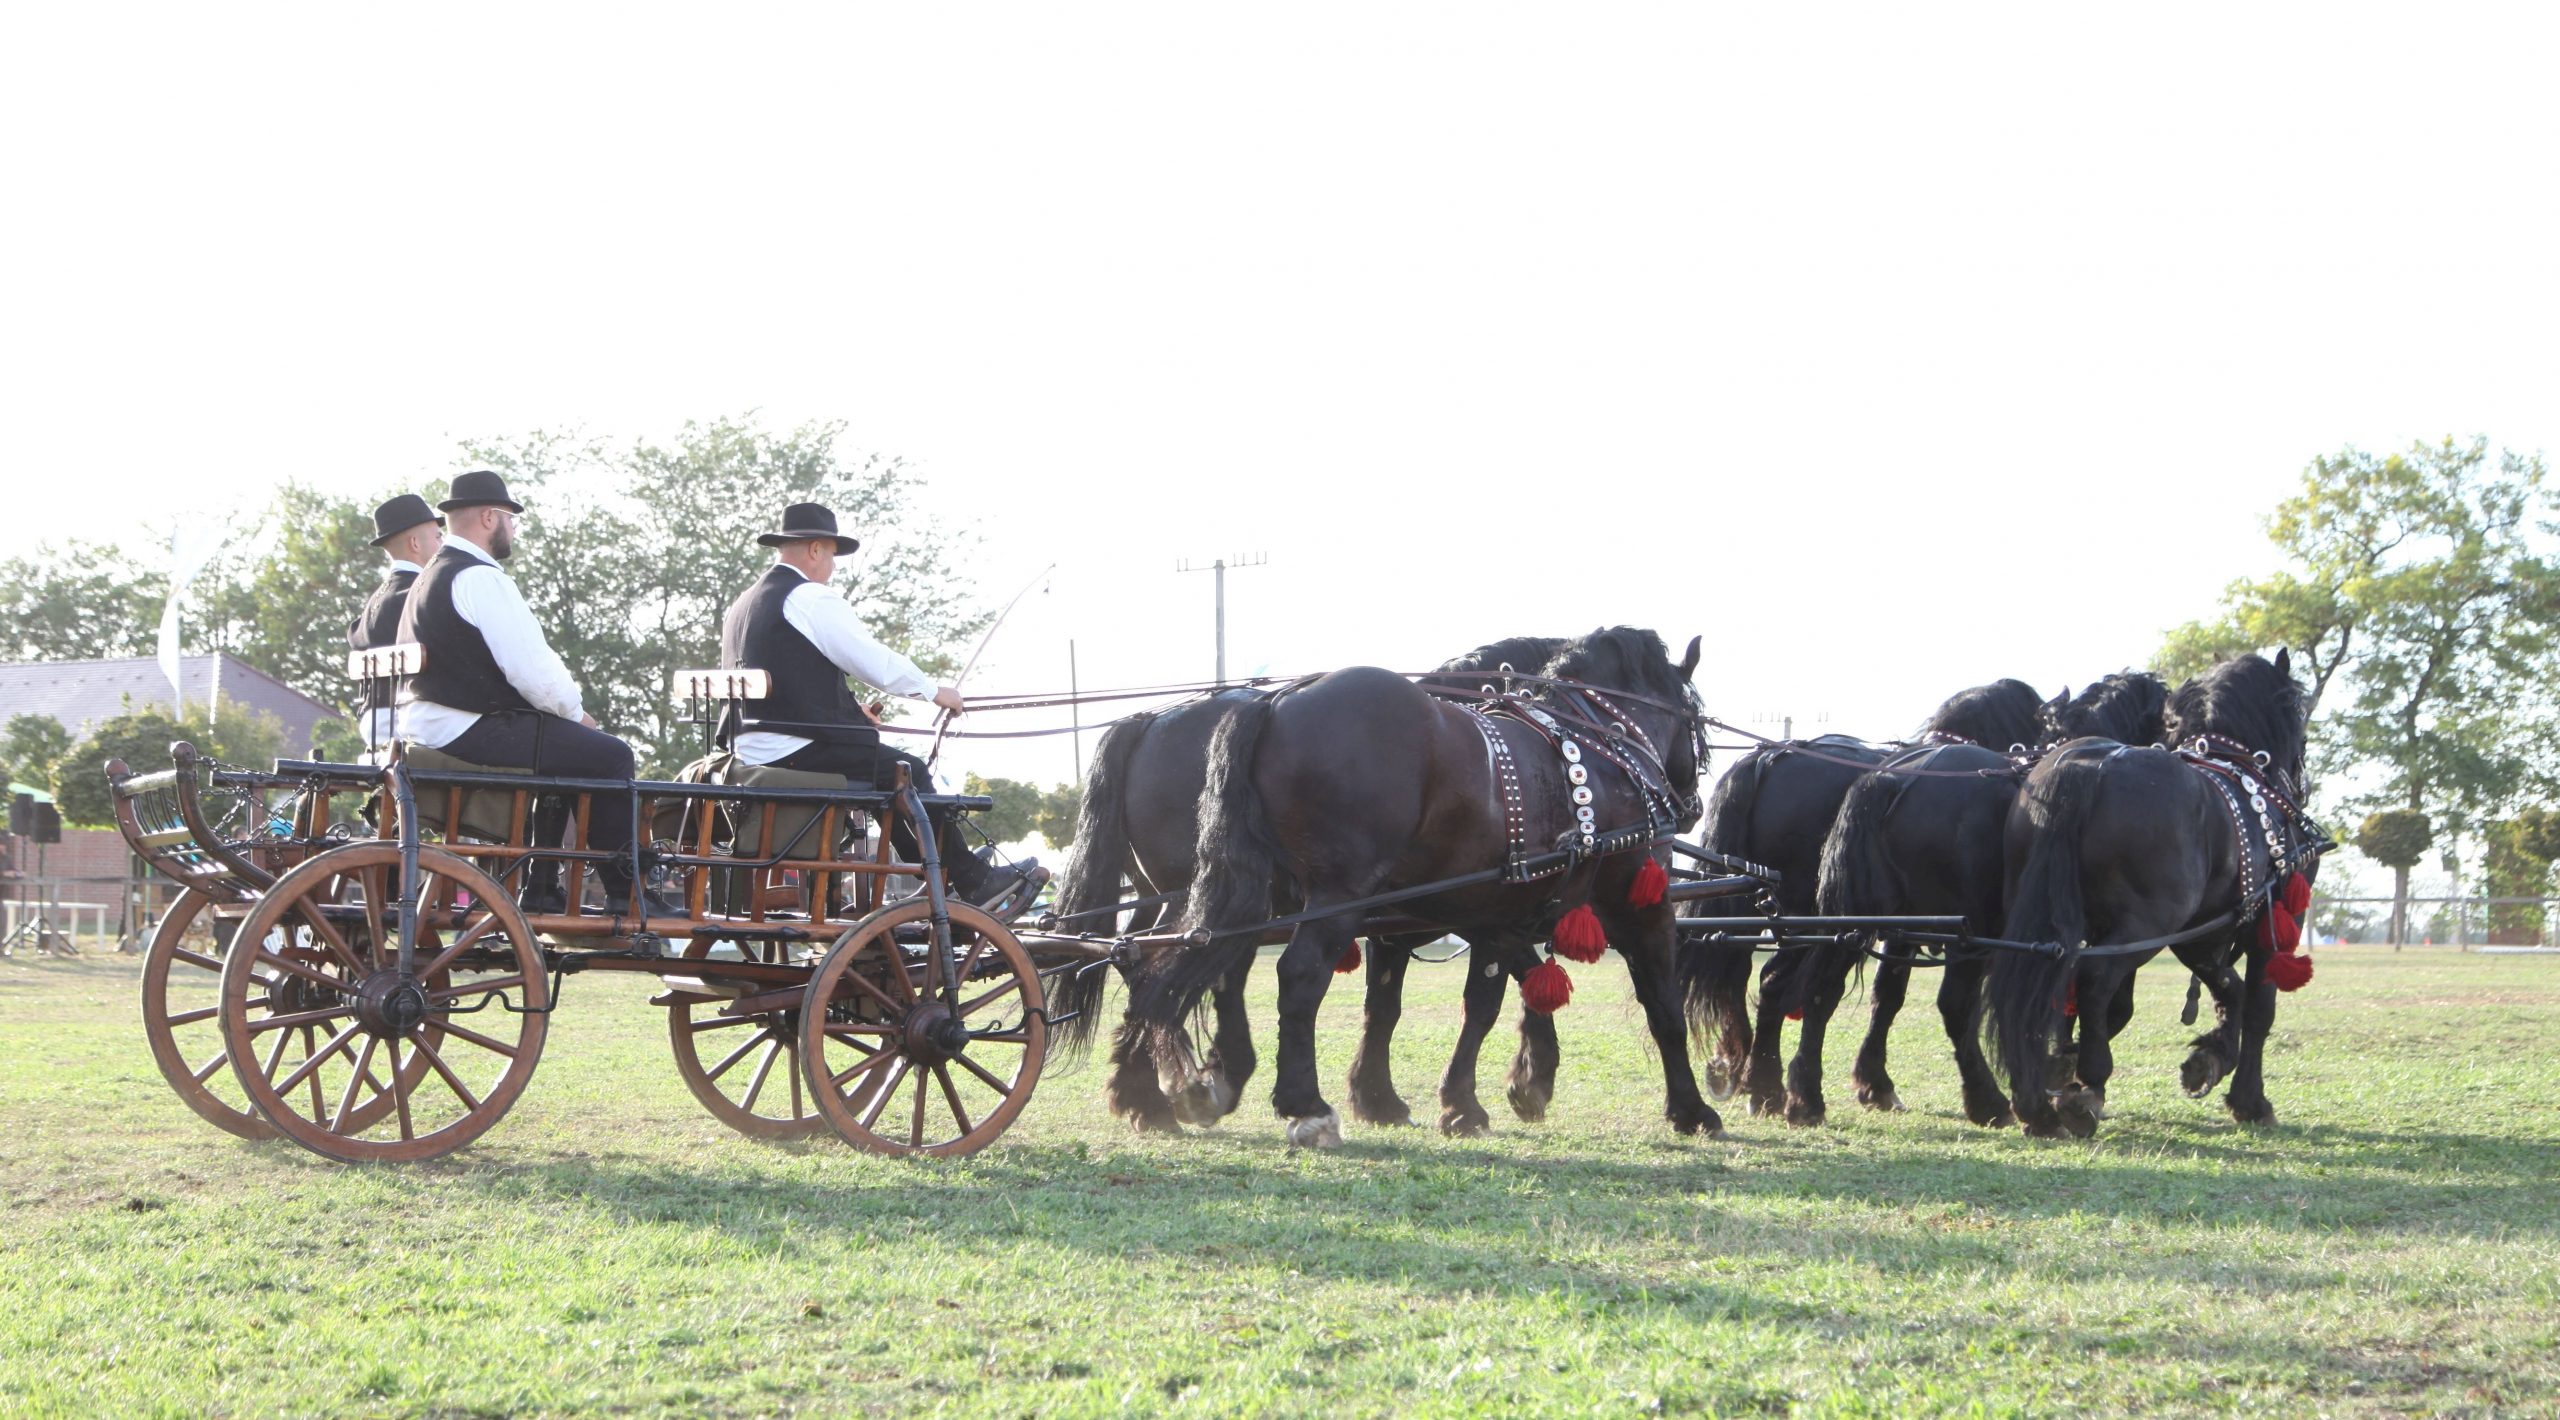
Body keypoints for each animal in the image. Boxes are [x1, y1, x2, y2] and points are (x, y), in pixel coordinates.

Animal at [1049, 634, 1566, 1136]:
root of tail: (1148, 720)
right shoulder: (1485, 910)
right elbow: (1496, 990)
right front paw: (1514, 1085)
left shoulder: (1417, 924)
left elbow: (1390, 1003)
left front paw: (1381, 1097)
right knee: (1190, 967)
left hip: (1188, 893)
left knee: (1153, 961)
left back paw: (1157, 1089)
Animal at [1136, 626, 1699, 1151]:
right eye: (1695, 712)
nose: (1690, 805)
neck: (1598, 750)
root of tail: (1274, 703)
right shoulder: (1639, 906)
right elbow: (1663, 1006)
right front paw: (1692, 1111)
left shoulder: (1495, 913)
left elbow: (1478, 1000)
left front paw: (1463, 1100)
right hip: (1337, 894)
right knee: (1296, 975)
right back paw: (1302, 1106)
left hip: (1249, 893)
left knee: (1195, 964)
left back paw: (1183, 1085)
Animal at [1679, 675, 2037, 1120]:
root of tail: (1769, 756)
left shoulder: (1902, 927)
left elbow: (1887, 995)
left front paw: (1873, 1082)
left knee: (1754, 976)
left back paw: (1756, 1082)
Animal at [1812, 670, 2170, 1125]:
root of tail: (1893, 778)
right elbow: (2104, 1006)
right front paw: (2066, 1071)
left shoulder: (1902, 933)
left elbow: (1886, 996)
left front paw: (1874, 1082)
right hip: (1968, 936)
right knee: (1955, 1006)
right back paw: (1990, 1100)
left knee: (1836, 990)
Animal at [1976, 660, 2324, 1146]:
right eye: (2298, 713)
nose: (2300, 783)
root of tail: (2085, 767)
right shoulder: (2269, 923)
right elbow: (2258, 1007)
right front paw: (2250, 1100)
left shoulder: (2198, 932)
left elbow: (2226, 988)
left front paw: (2207, 1059)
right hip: (2147, 923)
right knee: (2092, 982)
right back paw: (2085, 1087)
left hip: (2047, 916)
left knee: (2037, 986)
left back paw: (2036, 1103)